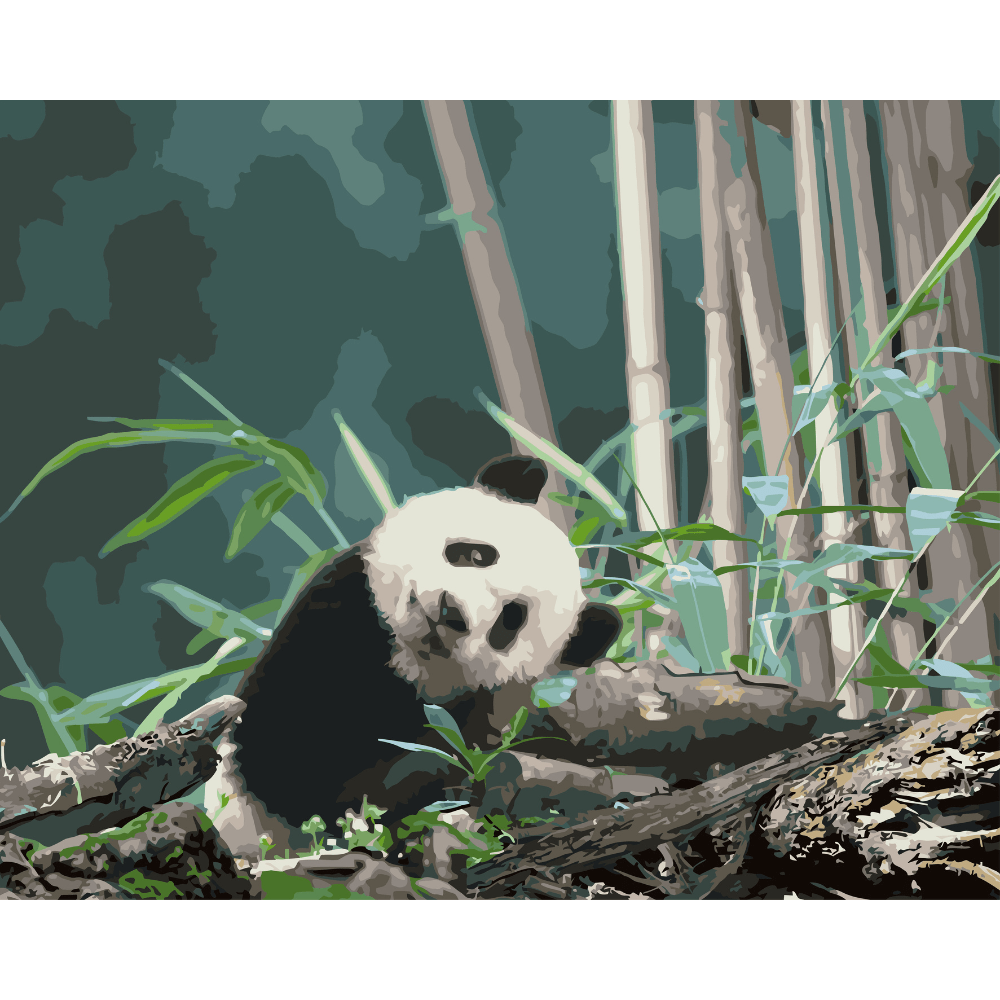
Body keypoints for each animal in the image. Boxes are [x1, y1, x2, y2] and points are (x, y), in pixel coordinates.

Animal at [221, 455, 621, 849]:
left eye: (510, 619)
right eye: (478, 555)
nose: (451, 611)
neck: (404, 661)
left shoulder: (472, 709)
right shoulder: (333, 612)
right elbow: (282, 761)